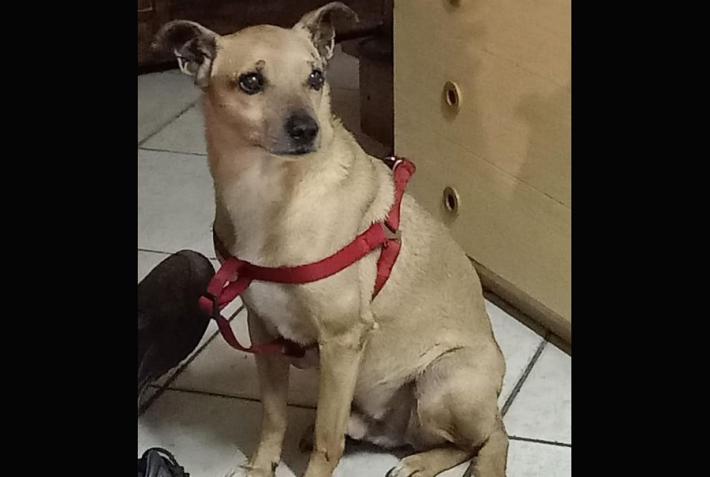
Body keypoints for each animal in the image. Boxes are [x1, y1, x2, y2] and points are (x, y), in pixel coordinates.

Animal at [154, 3, 508, 476]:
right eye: (251, 81)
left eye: (316, 77)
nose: (307, 129)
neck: (269, 193)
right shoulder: (262, 328)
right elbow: (273, 416)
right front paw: (261, 466)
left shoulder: (341, 340)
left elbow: (327, 441)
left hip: (444, 380)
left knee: (484, 439)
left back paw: (419, 463)